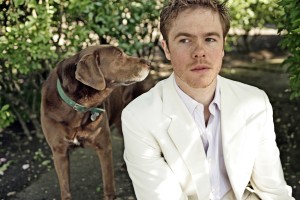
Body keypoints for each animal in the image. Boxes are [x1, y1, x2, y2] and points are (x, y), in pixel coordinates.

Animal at [40, 45, 150, 200]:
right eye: (119, 55)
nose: (149, 63)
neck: (78, 107)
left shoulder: (104, 146)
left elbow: (108, 184)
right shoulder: (59, 152)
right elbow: (65, 189)